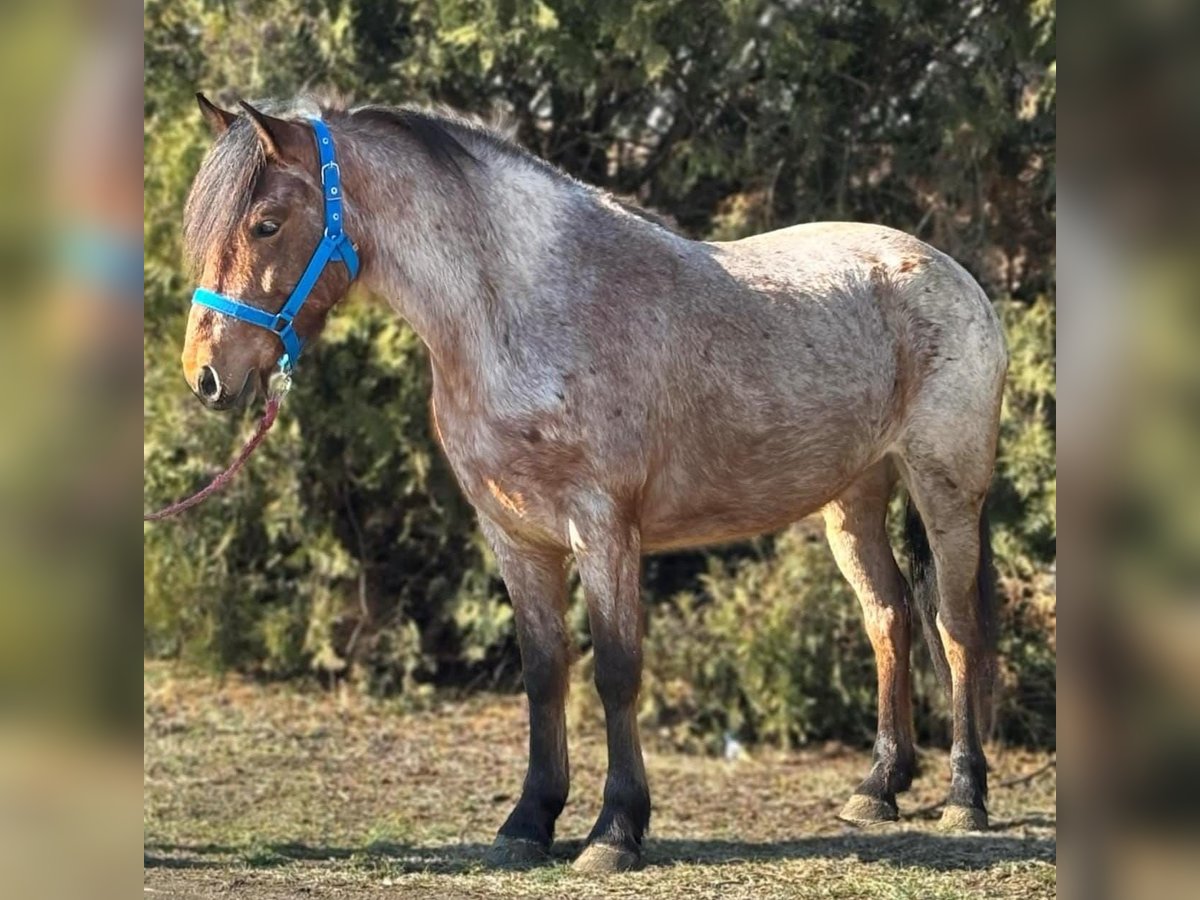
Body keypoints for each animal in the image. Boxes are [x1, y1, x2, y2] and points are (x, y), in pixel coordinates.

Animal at [175, 93, 1003, 873]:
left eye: (267, 225)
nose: (205, 375)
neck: (522, 312)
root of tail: (949, 271)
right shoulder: (515, 537)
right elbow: (545, 672)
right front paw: (528, 822)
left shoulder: (604, 530)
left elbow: (615, 671)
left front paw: (615, 832)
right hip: (853, 501)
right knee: (889, 617)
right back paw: (878, 788)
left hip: (945, 492)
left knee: (955, 628)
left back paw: (966, 796)